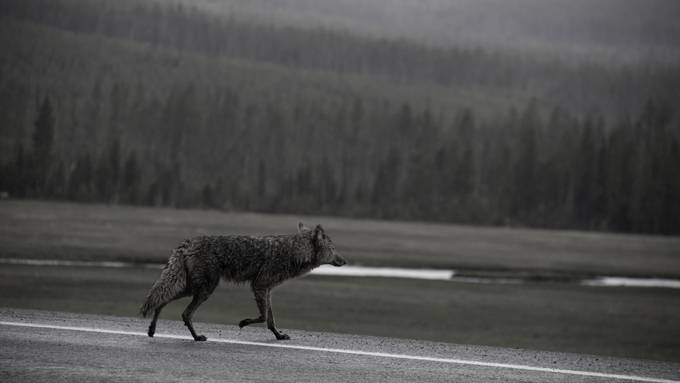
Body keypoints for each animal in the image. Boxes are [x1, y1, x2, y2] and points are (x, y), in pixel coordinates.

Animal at [141, 222, 348, 342]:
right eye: (333, 249)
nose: (345, 261)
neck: (294, 251)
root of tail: (188, 242)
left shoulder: (267, 290)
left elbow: (270, 320)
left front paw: (279, 336)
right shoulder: (259, 286)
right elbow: (263, 317)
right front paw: (243, 323)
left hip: (191, 288)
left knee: (162, 301)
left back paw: (152, 330)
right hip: (204, 289)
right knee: (184, 313)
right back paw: (196, 337)